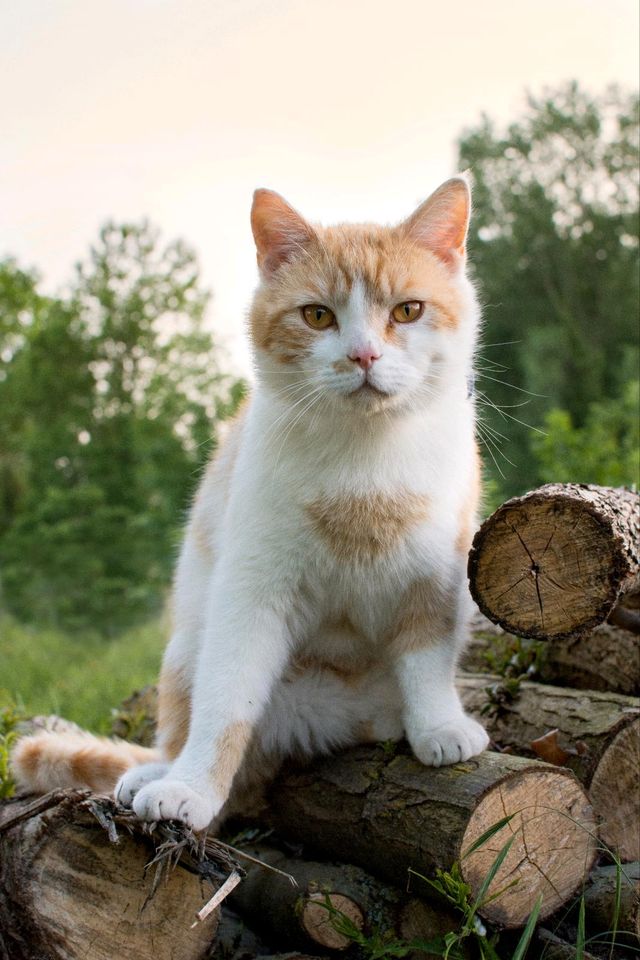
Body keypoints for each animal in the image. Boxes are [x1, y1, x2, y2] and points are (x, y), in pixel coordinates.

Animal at [11, 176, 490, 828]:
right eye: (317, 315)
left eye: (407, 310)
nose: (363, 355)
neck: (363, 458)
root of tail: (311, 723)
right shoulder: (251, 595)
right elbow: (224, 706)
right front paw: (190, 788)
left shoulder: (434, 580)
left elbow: (427, 660)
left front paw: (439, 726)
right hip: (186, 650)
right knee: (179, 732)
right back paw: (154, 775)